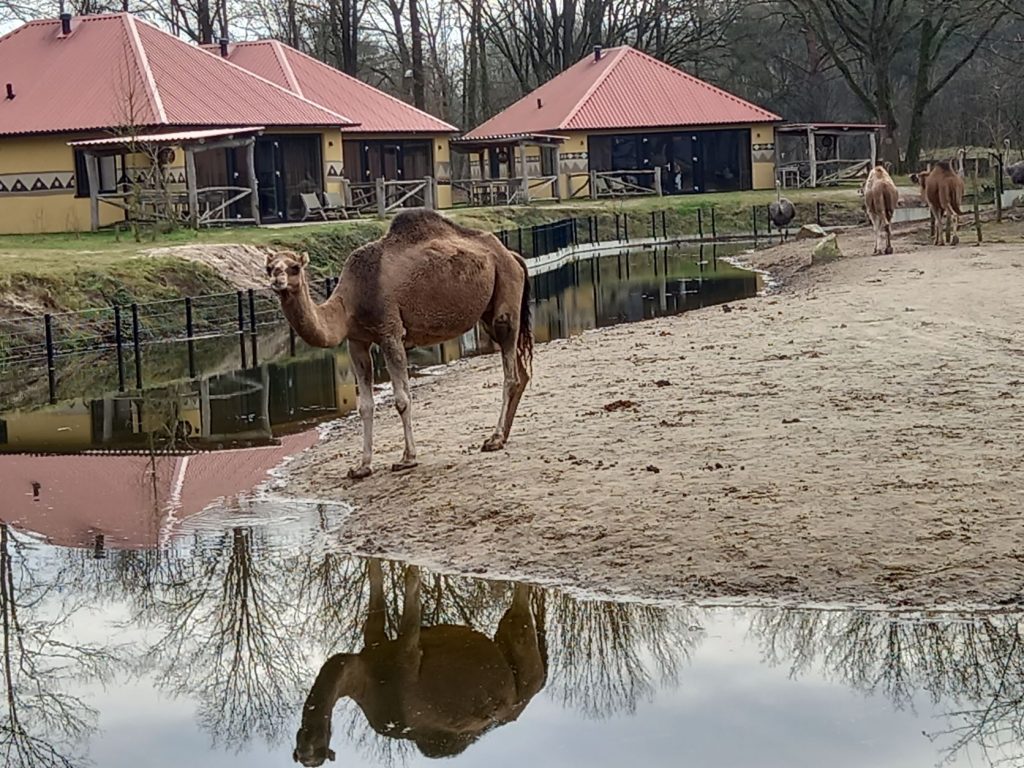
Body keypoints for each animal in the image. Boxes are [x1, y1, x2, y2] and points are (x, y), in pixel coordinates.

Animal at [264, 207, 536, 479]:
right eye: (269, 267)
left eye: (294, 267)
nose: (277, 281)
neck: (351, 300)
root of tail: (512, 255)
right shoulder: (357, 341)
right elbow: (365, 406)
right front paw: (362, 467)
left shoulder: (390, 332)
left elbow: (402, 399)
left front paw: (407, 458)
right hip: (489, 312)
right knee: (520, 372)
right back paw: (503, 435)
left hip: (505, 297)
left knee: (510, 373)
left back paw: (495, 438)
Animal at [292, 561, 548, 768]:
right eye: (300, 748)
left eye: (319, 747)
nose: (306, 748)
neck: (366, 682)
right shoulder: (374, 644)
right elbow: (375, 580)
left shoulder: (406, 660)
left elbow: (410, 582)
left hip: (523, 673)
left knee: (520, 623)